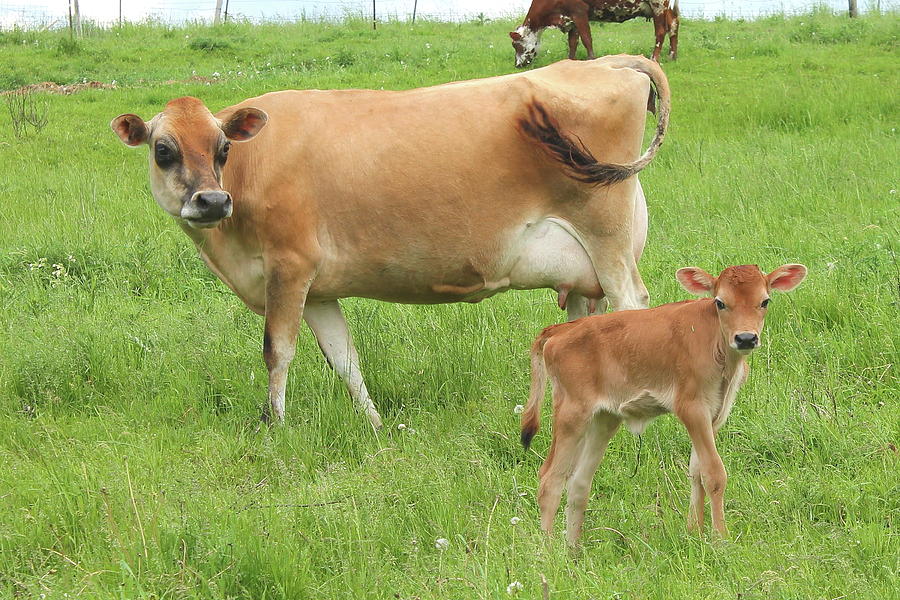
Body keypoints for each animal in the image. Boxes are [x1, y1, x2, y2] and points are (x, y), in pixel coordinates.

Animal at [110, 56, 668, 428]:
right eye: (163, 150)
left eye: (223, 147)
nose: (210, 201)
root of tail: (604, 60)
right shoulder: (319, 289)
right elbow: (344, 359)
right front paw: (376, 425)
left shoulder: (288, 267)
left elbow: (277, 351)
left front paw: (277, 427)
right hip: (583, 270)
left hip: (608, 241)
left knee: (634, 306)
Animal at [510, 0, 680, 67]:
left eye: (517, 46)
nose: (517, 65)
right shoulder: (571, 18)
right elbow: (573, 42)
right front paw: (570, 60)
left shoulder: (580, 12)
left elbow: (586, 39)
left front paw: (591, 59)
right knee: (673, 25)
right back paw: (672, 56)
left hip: (658, 5)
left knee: (660, 31)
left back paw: (654, 58)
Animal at [520, 262, 808, 544]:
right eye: (720, 302)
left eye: (765, 301)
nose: (746, 338)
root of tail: (563, 329)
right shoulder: (691, 408)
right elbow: (714, 473)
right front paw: (720, 538)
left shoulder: (715, 414)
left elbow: (697, 471)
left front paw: (695, 532)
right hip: (572, 413)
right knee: (550, 480)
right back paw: (549, 551)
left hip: (603, 419)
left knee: (579, 482)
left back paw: (573, 550)